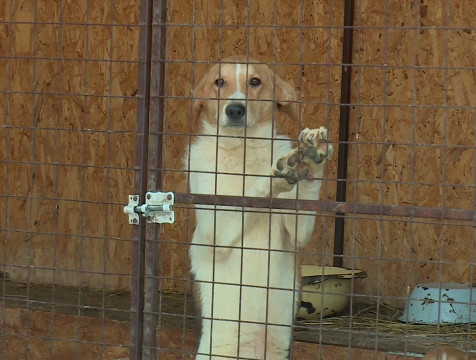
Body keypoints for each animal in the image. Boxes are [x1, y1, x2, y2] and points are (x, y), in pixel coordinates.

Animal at [184, 56, 332, 360]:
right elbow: (251, 194)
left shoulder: (297, 231)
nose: (235, 109)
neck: (243, 150)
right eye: (219, 82)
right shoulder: (216, 234)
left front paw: (312, 157)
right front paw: (275, 175)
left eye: (255, 81)